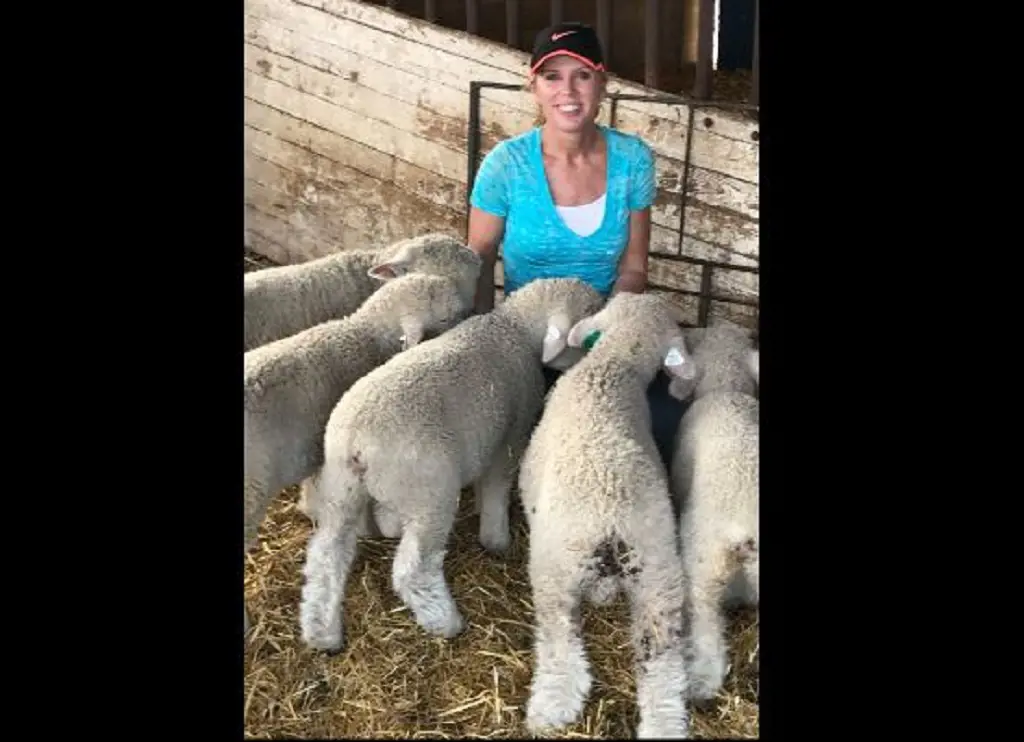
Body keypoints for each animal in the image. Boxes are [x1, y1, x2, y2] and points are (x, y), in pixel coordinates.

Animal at [294, 278, 606, 655]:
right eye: (588, 316)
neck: (512, 329)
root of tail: (358, 443)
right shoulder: (509, 439)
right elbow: (496, 489)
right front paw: (497, 540)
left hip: (341, 490)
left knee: (327, 556)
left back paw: (322, 633)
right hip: (429, 494)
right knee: (412, 570)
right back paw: (446, 623)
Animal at [516, 292, 700, 736]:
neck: (613, 369)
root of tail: (611, 524)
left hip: (556, 569)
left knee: (562, 645)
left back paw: (550, 709)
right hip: (659, 578)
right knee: (663, 669)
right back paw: (663, 726)